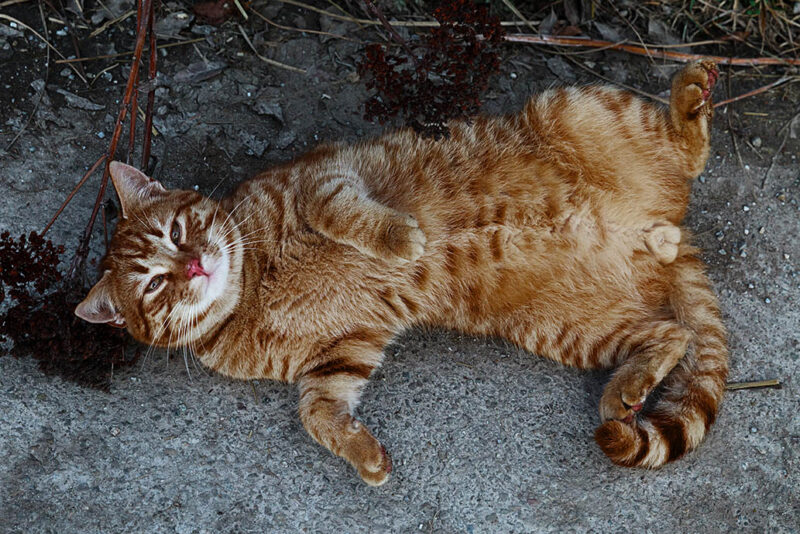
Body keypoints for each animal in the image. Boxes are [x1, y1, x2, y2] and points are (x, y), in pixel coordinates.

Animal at [75, 60, 724, 488]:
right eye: (154, 285)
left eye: (176, 231)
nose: (193, 264)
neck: (253, 285)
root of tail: (661, 228)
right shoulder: (341, 352)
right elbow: (317, 412)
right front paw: (364, 455)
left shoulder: (324, 177)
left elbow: (342, 213)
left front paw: (400, 239)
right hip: (570, 329)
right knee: (670, 334)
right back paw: (625, 391)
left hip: (576, 109)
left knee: (691, 153)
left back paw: (690, 94)